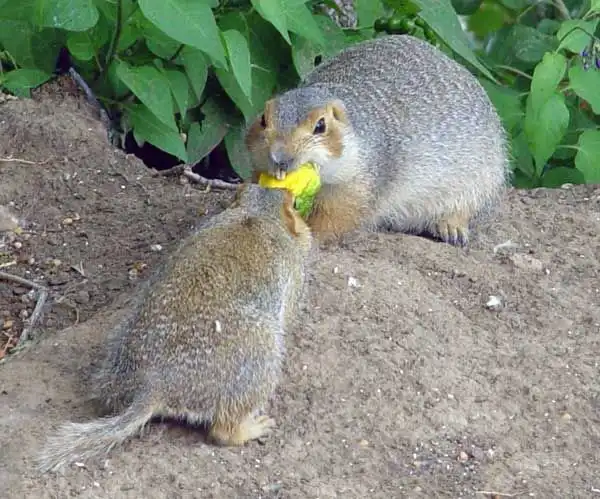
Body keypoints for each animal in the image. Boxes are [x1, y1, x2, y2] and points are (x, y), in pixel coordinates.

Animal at [36, 184, 312, 473]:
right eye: (294, 204)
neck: (256, 213)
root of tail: (154, 386)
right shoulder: (296, 274)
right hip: (260, 361)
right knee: (223, 431)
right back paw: (252, 428)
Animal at [245, 34, 510, 246]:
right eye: (263, 119)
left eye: (320, 126)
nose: (279, 158)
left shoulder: (359, 186)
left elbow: (336, 219)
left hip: (482, 179)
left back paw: (451, 226)